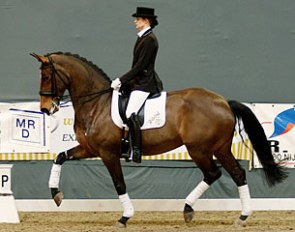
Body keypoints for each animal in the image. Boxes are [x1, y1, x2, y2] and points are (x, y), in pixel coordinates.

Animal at [31, 51, 288, 227]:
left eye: (46, 76)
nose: (45, 109)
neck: (97, 103)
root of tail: (224, 101)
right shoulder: (89, 148)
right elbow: (60, 157)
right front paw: (56, 195)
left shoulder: (107, 153)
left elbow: (119, 183)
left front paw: (125, 217)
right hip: (219, 148)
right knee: (232, 174)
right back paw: (228, 214)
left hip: (201, 149)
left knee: (217, 173)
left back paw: (216, 212)